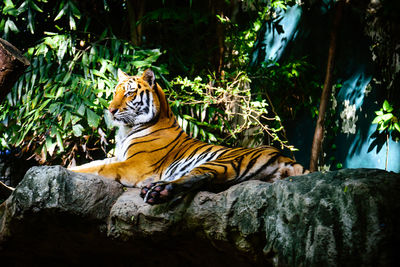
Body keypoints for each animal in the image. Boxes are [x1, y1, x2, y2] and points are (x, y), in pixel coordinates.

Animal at [69, 68, 308, 205]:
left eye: (129, 93)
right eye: (115, 92)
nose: (110, 110)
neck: (126, 130)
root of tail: (285, 157)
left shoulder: (134, 165)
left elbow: (98, 169)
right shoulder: (119, 157)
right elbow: (91, 164)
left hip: (226, 161)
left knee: (201, 176)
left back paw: (159, 191)